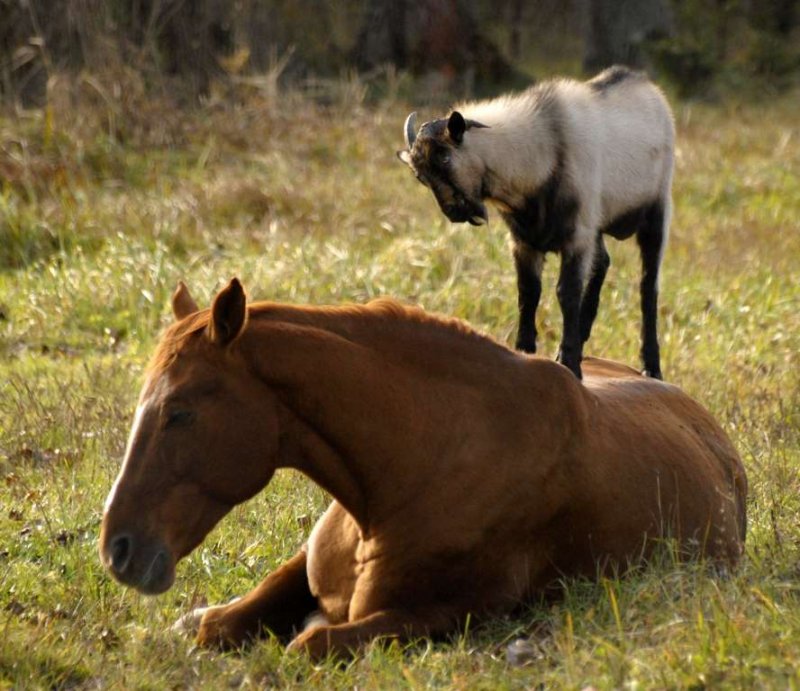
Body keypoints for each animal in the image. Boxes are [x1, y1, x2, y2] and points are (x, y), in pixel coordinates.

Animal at [97, 278, 748, 656]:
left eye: (179, 411)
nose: (118, 549)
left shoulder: (450, 613)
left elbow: (307, 644)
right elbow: (224, 623)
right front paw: (201, 620)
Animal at [396, 65, 672, 382]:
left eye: (444, 157)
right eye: (420, 176)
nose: (454, 212)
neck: (545, 151)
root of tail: (647, 86)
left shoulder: (576, 237)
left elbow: (566, 293)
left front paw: (570, 363)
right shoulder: (525, 242)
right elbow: (527, 292)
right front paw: (525, 351)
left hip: (656, 213)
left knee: (647, 286)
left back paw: (651, 366)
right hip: (597, 227)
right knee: (603, 263)